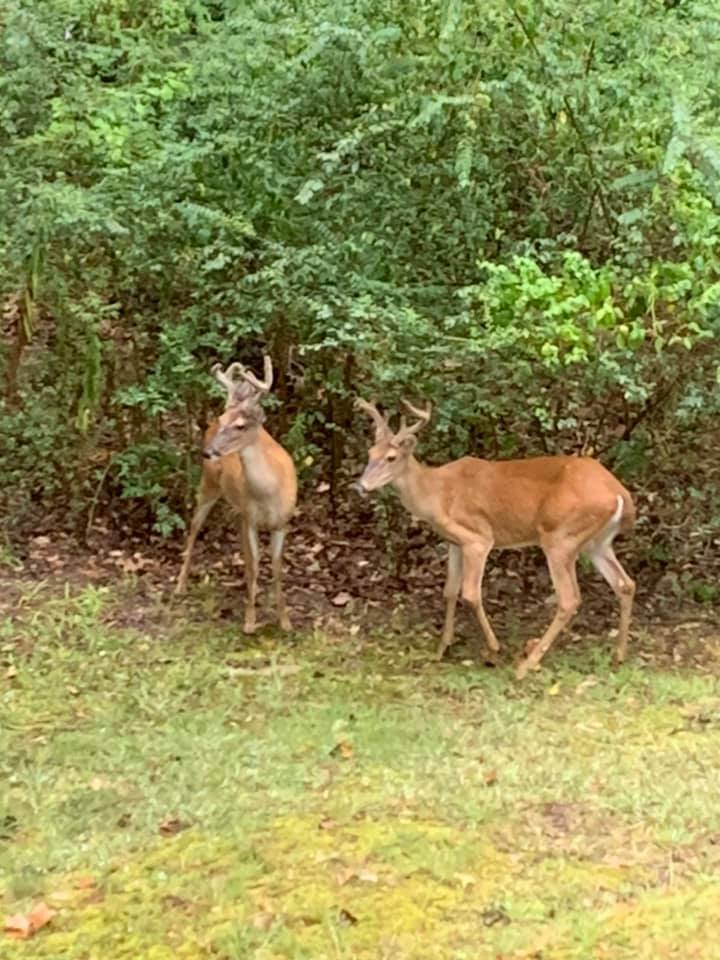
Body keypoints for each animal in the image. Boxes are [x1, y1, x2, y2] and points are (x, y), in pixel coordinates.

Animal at [175, 356, 297, 634]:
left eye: (240, 425)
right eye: (223, 420)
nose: (207, 452)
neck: (269, 493)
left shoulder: (281, 522)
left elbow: (276, 568)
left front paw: (285, 621)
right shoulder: (252, 519)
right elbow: (255, 565)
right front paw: (250, 621)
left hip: (238, 507)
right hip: (208, 485)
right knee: (194, 528)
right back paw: (180, 584)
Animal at [354, 398, 636, 679]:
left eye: (391, 457)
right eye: (370, 453)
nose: (360, 486)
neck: (436, 494)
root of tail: (620, 494)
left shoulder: (478, 538)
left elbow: (470, 594)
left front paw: (493, 648)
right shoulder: (454, 542)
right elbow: (449, 591)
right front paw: (442, 648)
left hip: (560, 537)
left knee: (570, 598)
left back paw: (526, 665)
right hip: (596, 542)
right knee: (625, 584)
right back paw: (619, 656)